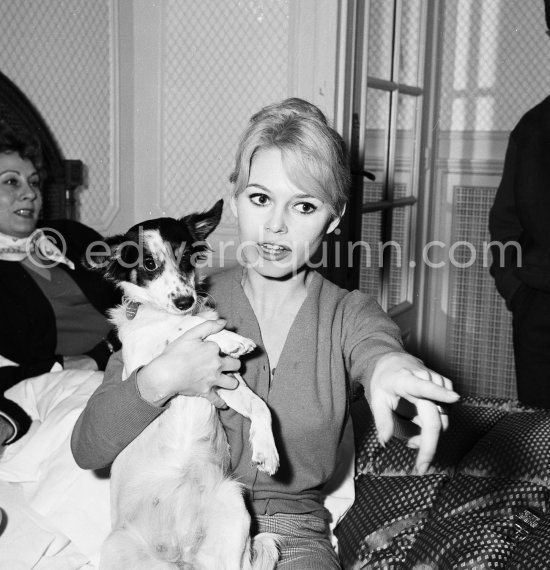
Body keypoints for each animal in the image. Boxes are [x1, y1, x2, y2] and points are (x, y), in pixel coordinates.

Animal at [90, 199, 282, 564]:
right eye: (149, 264)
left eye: (185, 258)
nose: (185, 301)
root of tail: (181, 552)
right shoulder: (145, 358)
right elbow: (179, 327)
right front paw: (228, 337)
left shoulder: (225, 383)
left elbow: (261, 406)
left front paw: (267, 448)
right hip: (117, 547)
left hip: (232, 510)